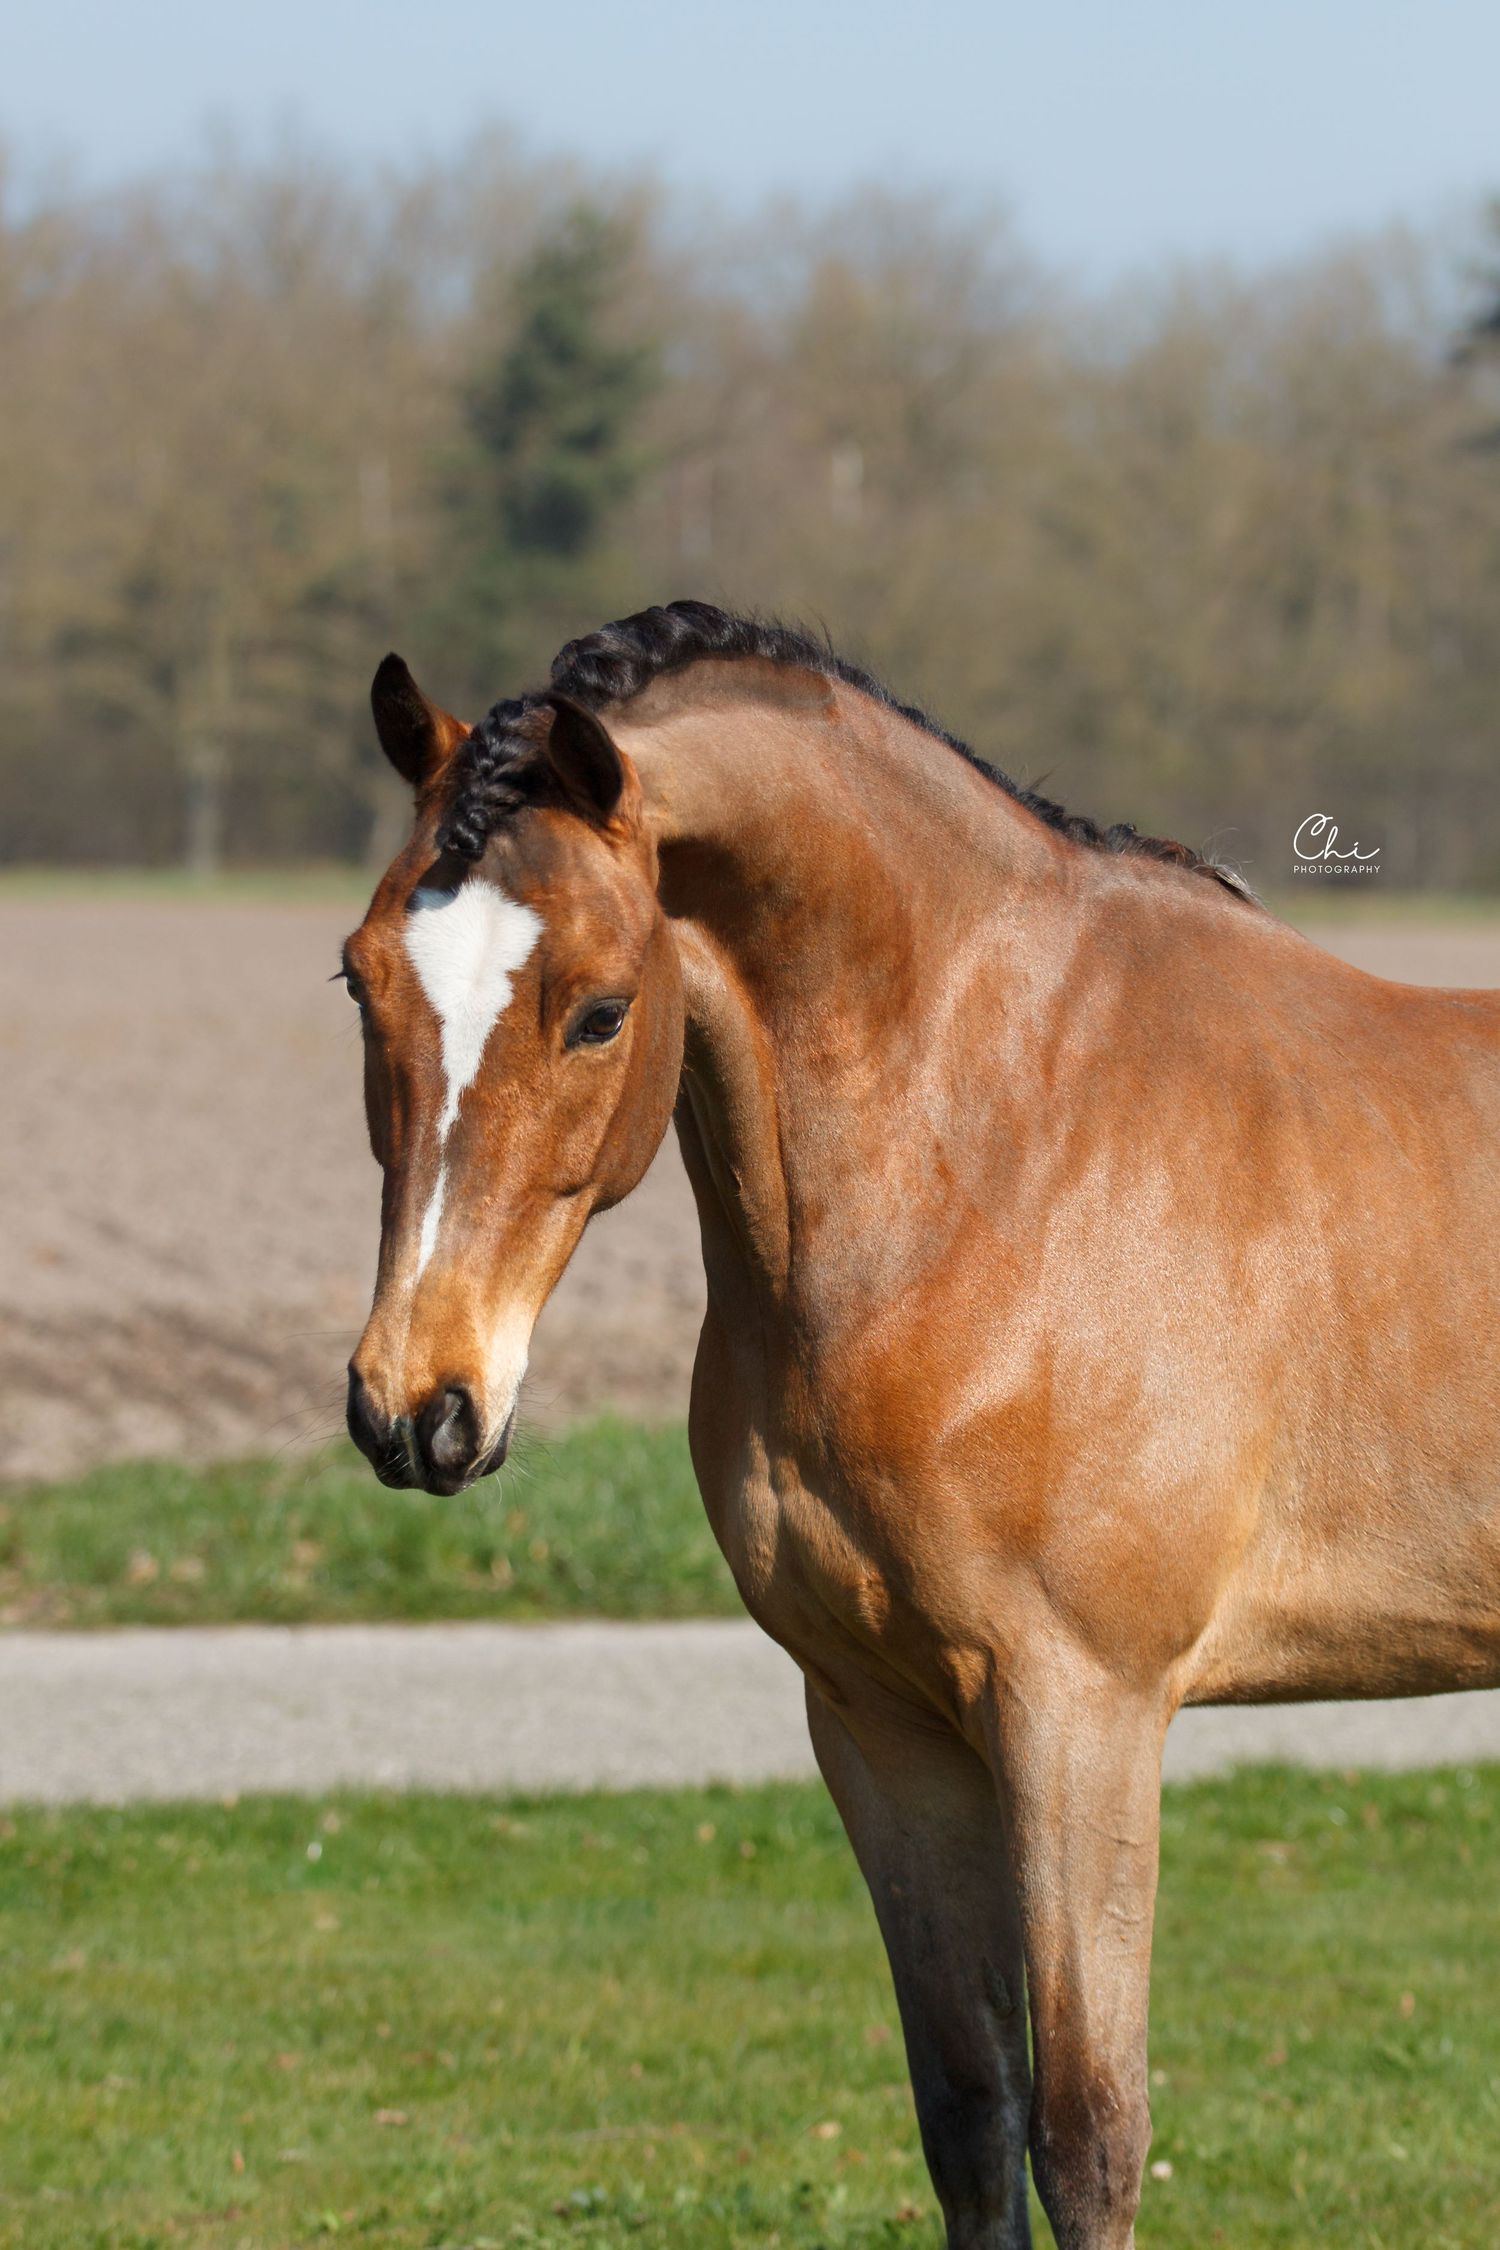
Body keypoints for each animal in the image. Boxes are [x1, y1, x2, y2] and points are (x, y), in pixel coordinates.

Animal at [340, 600, 1500, 2248]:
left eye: (601, 1010)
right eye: (360, 978)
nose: (416, 1408)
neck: (1004, 1145)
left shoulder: (1081, 1714)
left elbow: (1087, 2132)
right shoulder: (880, 1721)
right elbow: (970, 2114)